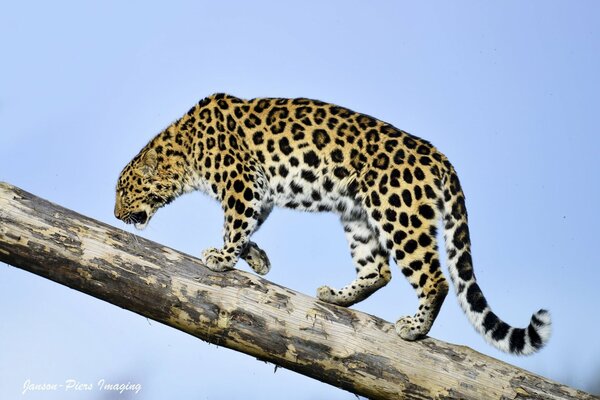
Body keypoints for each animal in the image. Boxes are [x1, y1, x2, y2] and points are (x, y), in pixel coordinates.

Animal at [115, 93, 552, 354]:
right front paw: (256, 259)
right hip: (359, 215)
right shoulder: (260, 191)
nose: (116, 214)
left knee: (434, 278)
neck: (182, 152)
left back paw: (414, 327)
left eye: (124, 191)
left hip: (399, 213)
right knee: (378, 271)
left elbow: (236, 223)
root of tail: (438, 156)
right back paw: (335, 297)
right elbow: (249, 226)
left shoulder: (241, 181)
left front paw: (221, 258)